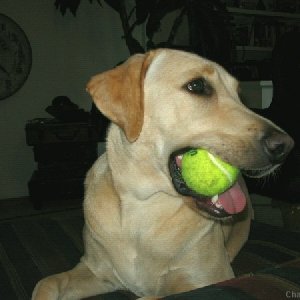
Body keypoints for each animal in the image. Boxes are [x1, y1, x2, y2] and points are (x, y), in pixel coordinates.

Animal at [32, 48, 292, 298]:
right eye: (197, 86)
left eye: (239, 94)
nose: (285, 147)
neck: (142, 206)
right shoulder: (94, 271)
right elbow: (45, 282)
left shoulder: (207, 280)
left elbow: (150, 297)